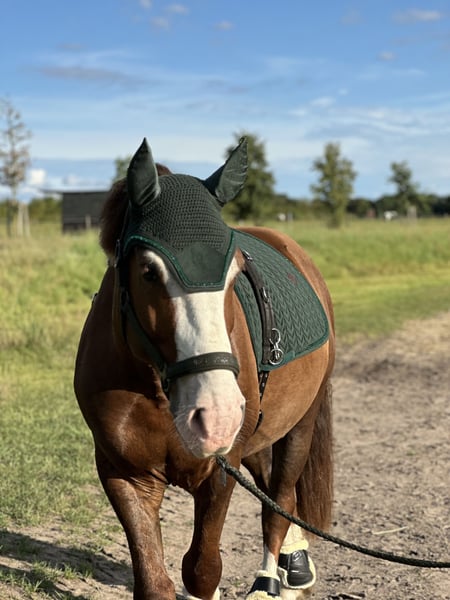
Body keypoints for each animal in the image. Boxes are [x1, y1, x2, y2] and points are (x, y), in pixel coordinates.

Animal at [74, 137, 335, 600]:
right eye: (148, 271)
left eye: (235, 273)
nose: (217, 414)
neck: (159, 389)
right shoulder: (124, 474)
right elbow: (154, 581)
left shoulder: (218, 470)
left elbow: (201, 569)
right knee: (272, 490)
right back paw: (293, 562)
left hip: (299, 425)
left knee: (280, 501)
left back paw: (272, 578)